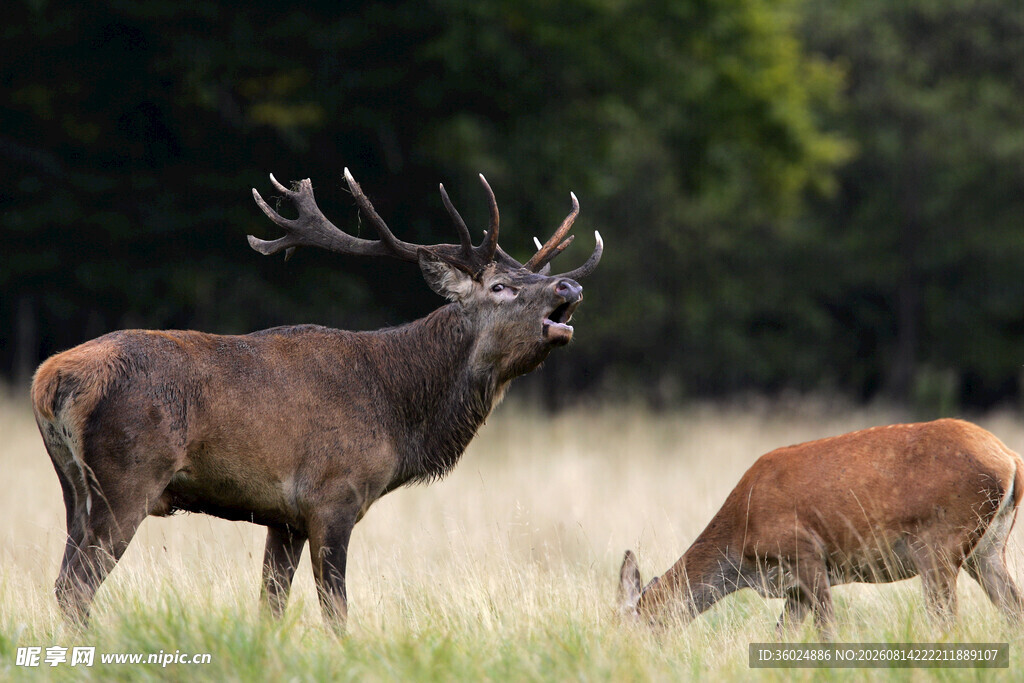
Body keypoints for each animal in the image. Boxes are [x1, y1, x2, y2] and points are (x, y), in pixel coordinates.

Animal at [31, 168, 602, 630]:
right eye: (501, 286)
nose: (569, 287)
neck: (399, 415)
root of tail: (49, 378)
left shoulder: (283, 517)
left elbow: (270, 607)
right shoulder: (333, 497)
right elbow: (336, 611)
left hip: (72, 488)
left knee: (62, 581)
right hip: (128, 478)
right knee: (76, 588)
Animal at [618, 419, 1024, 639]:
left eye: (633, 625)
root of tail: (1010, 460)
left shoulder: (804, 552)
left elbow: (827, 630)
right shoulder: (793, 588)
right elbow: (781, 636)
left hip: (939, 544)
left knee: (947, 623)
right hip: (988, 549)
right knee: (1013, 610)